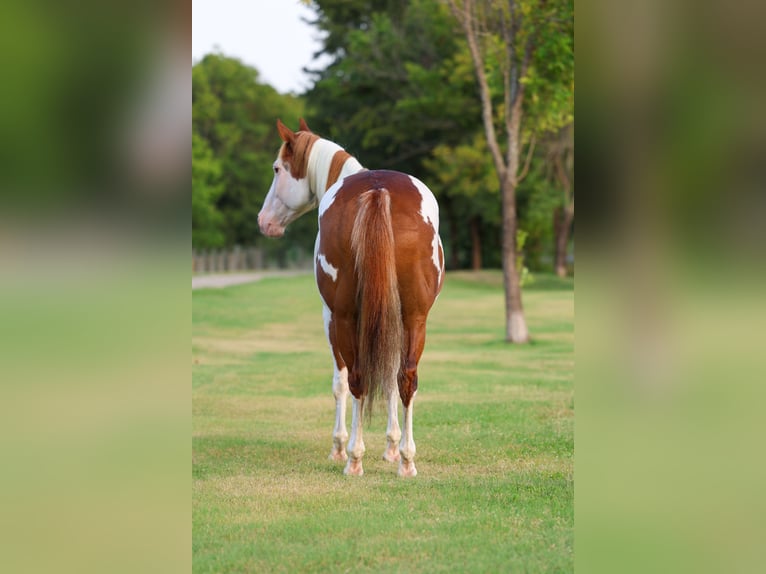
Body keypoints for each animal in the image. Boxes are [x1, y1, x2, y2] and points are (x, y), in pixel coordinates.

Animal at [258, 119, 444, 477]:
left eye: (277, 168)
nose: (264, 221)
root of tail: (378, 190)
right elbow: (389, 379)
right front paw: (391, 447)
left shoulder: (330, 317)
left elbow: (340, 383)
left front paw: (339, 446)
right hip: (415, 317)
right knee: (406, 379)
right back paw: (407, 461)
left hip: (344, 317)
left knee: (355, 378)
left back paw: (354, 458)